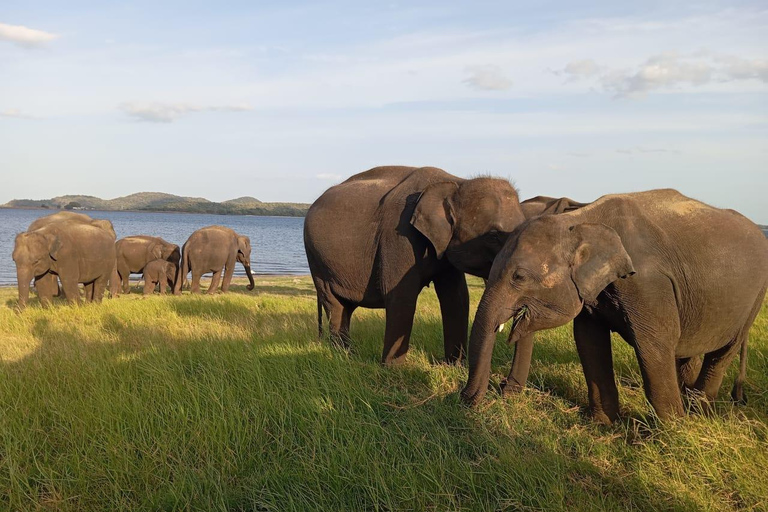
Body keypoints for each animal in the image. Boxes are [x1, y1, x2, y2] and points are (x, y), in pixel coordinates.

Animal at [304, 164, 524, 364]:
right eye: (493, 236)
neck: (456, 182)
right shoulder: (399, 234)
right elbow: (401, 293)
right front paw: (393, 370)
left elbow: (457, 296)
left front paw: (454, 366)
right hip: (316, 258)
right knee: (335, 304)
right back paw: (344, 356)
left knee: (346, 308)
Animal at [462, 189, 768, 424]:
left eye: (520, 277)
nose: (466, 400)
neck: (581, 219)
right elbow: (589, 341)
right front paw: (603, 425)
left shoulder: (648, 283)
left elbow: (654, 344)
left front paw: (671, 432)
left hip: (755, 296)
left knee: (722, 352)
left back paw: (698, 413)